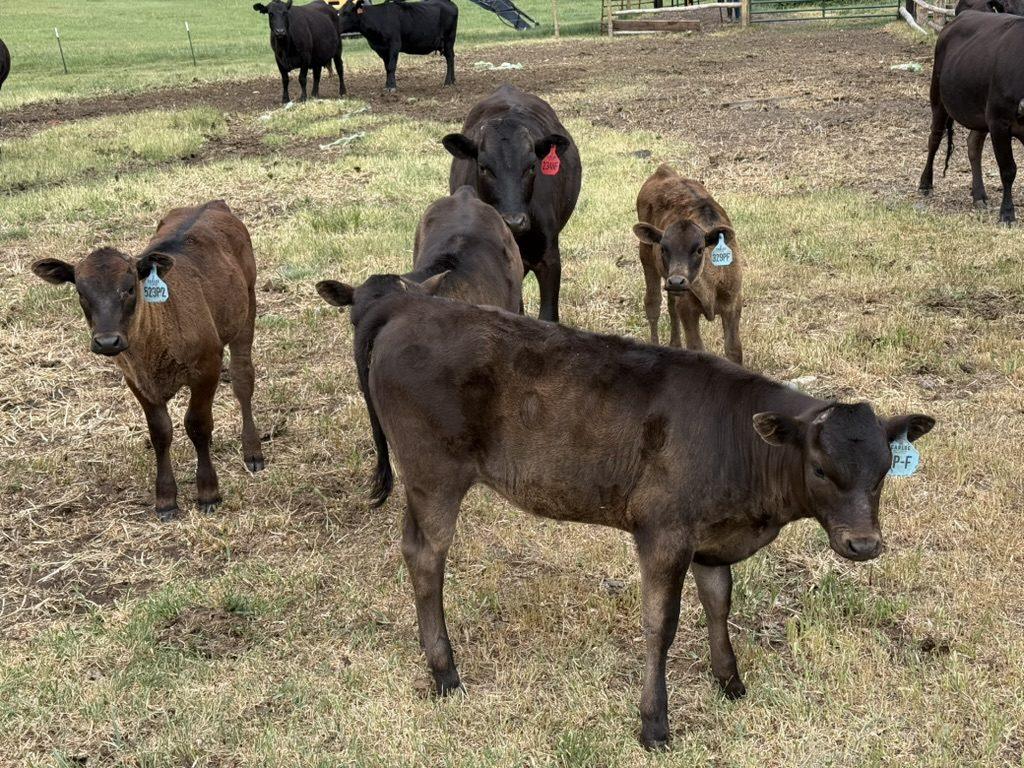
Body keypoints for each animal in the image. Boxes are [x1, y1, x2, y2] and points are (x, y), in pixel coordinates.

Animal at [31, 201, 265, 521]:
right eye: (81, 292)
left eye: (129, 288)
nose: (107, 341)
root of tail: (211, 204)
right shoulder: (136, 380)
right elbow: (160, 432)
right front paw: (165, 499)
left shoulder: (207, 366)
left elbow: (198, 424)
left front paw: (208, 492)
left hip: (246, 309)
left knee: (242, 379)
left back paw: (252, 450)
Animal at [315, 274, 935, 749]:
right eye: (821, 470)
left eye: (885, 470)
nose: (863, 544)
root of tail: (410, 305)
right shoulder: (663, 532)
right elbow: (661, 625)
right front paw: (654, 723)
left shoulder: (711, 539)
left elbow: (719, 603)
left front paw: (729, 682)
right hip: (434, 474)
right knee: (425, 556)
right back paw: (445, 672)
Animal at [634, 165, 743, 365]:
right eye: (663, 248)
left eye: (699, 249)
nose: (677, 281)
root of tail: (664, 170)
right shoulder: (688, 309)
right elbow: (697, 348)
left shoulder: (733, 303)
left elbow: (734, 350)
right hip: (646, 255)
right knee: (653, 304)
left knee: (670, 306)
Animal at [919, 11, 1024, 224]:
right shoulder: (998, 122)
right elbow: (1008, 169)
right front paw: (1007, 214)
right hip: (938, 99)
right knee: (934, 139)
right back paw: (925, 184)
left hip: (979, 115)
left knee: (973, 145)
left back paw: (979, 195)